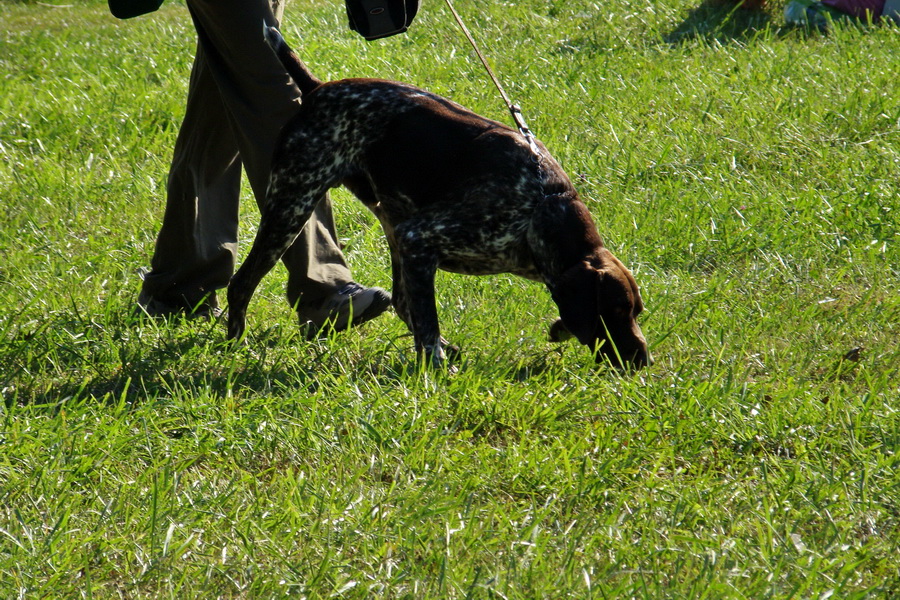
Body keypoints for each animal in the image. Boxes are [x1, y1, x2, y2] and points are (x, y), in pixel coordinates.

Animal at [225, 28, 648, 370]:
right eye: (615, 309)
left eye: (636, 311)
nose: (645, 360)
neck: (541, 207)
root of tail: (317, 87)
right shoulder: (420, 238)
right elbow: (427, 324)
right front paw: (437, 367)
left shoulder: (413, 244)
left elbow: (418, 314)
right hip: (293, 208)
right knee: (240, 283)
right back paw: (233, 345)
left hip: (387, 221)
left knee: (399, 299)